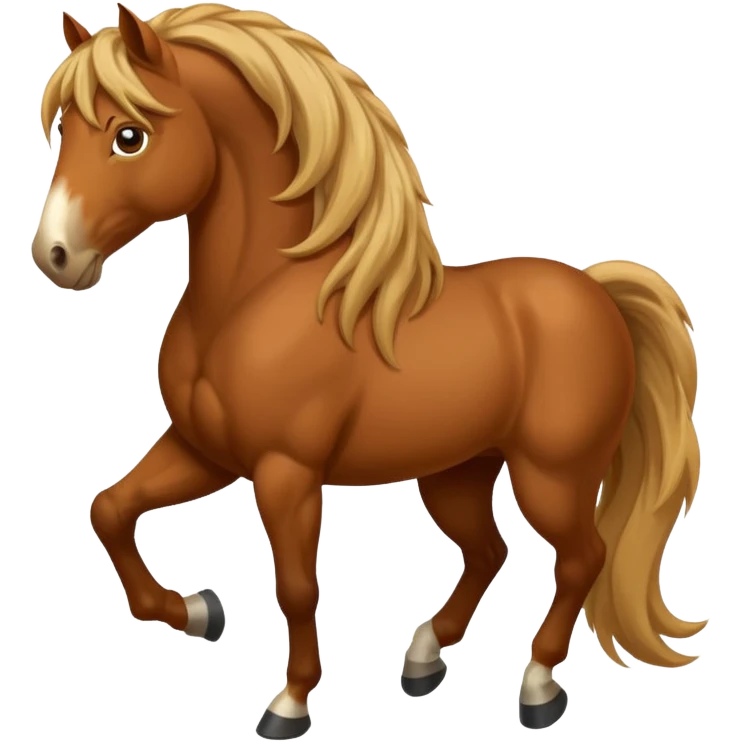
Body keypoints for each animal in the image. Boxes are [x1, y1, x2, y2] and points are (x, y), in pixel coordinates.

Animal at [32, 4, 707, 737]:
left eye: (129, 136)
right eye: (63, 129)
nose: (55, 256)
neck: (255, 298)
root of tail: (598, 294)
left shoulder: (286, 471)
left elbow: (297, 587)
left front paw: (290, 703)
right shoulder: (206, 451)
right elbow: (110, 509)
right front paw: (200, 612)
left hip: (552, 475)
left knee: (583, 558)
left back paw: (537, 686)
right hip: (456, 473)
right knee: (488, 551)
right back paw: (424, 658)